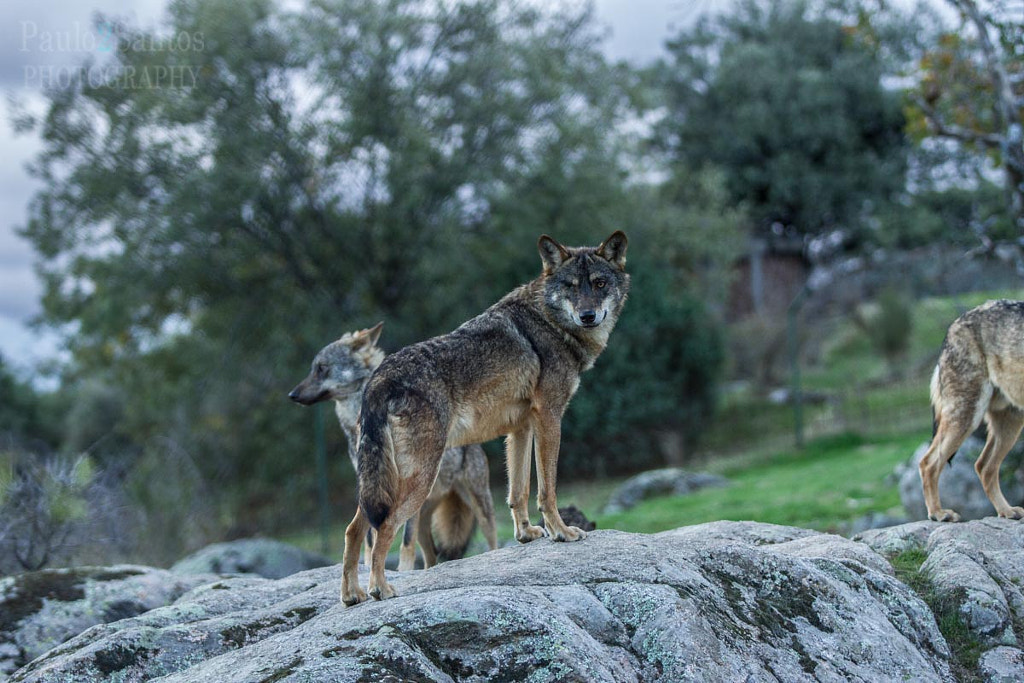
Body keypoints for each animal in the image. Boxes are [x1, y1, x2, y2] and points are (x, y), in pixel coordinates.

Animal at [288, 323, 498, 569]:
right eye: (313, 369)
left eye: (322, 368)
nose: (292, 395)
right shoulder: (369, 485)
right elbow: (371, 539)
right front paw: (368, 565)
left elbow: (404, 540)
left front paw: (403, 570)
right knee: (430, 554)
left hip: (478, 503)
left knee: (491, 540)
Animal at [338, 231, 629, 605]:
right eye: (571, 286)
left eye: (599, 283)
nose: (588, 316)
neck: (549, 322)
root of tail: (377, 379)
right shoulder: (550, 417)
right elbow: (546, 489)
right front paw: (561, 532)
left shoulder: (521, 428)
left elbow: (518, 491)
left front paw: (526, 534)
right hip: (418, 480)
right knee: (384, 527)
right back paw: (381, 589)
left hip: (386, 483)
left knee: (354, 529)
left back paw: (351, 596)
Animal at [919, 300, 1024, 522]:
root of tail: (954, 325)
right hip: (967, 417)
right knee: (928, 463)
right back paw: (938, 514)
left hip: (1009, 424)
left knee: (983, 466)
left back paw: (1007, 511)